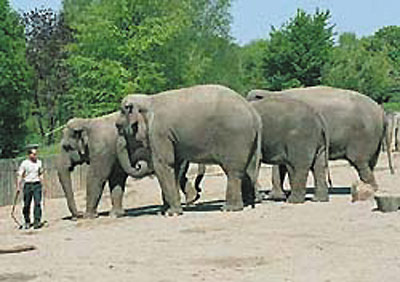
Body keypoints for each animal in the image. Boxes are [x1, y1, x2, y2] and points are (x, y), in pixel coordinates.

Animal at [56, 111, 203, 219]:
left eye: (66, 147)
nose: (78, 215)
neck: (87, 122)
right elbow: (116, 178)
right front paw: (116, 215)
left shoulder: (101, 150)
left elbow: (96, 176)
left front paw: (89, 217)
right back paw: (187, 201)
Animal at [115, 85, 260, 215]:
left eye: (118, 127)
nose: (139, 165)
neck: (148, 100)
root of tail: (253, 112)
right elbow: (175, 166)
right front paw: (168, 211)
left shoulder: (159, 133)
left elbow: (163, 165)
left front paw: (171, 213)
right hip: (246, 140)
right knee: (245, 170)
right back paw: (245, 204)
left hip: (235, 137)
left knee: (232, 171)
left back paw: (229, 208)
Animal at [247, 86, 394, 200]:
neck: (271, 93)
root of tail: (382, 111)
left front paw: (275, 196)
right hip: (375, 138)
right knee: (370, 164)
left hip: (364, 136)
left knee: (360, 162)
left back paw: (370, 190)